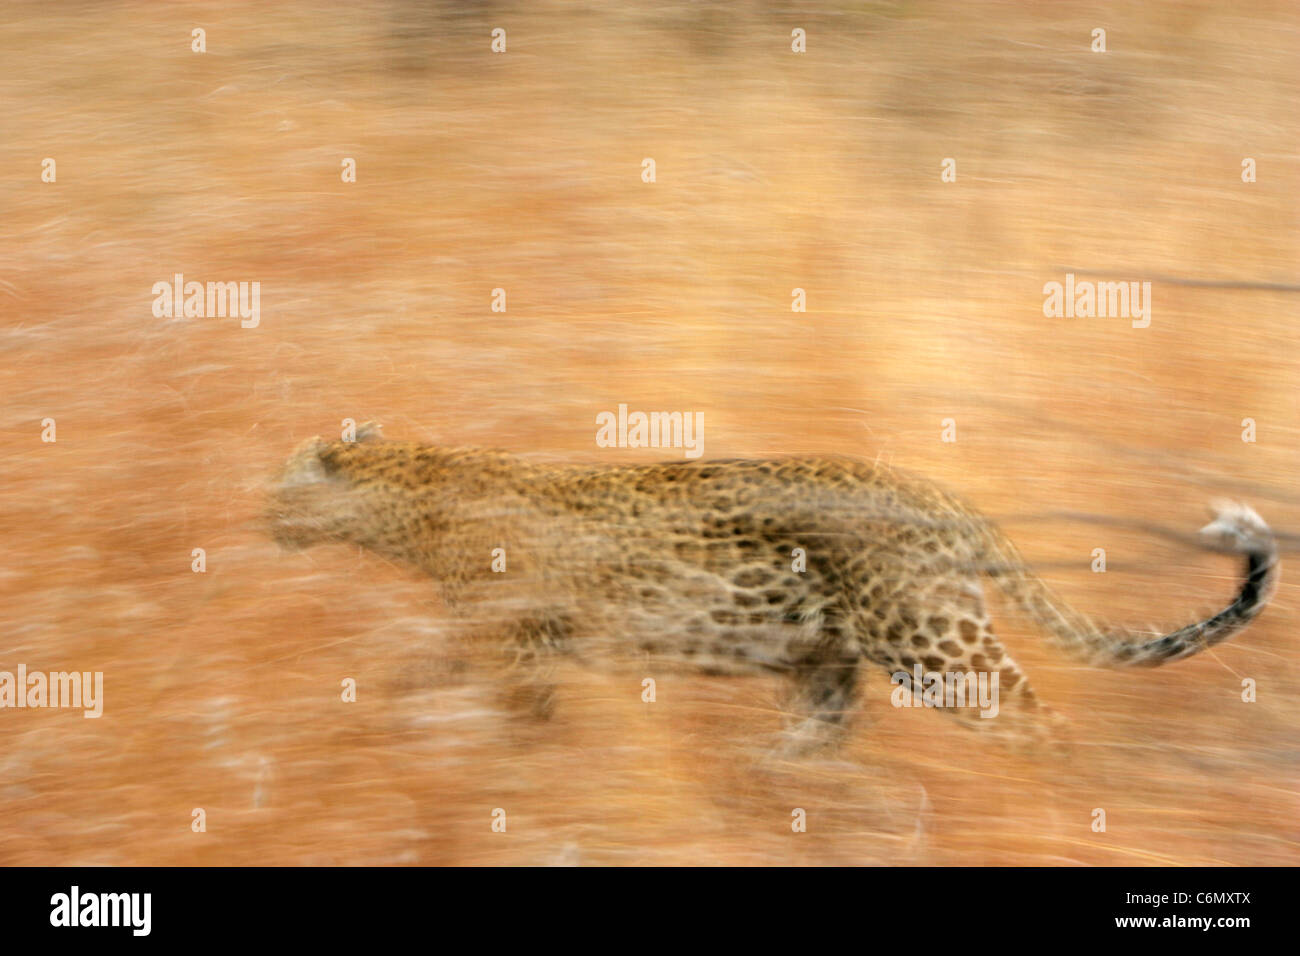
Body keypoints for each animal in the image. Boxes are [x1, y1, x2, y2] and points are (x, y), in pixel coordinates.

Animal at [266, 422, 1278, 751]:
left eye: (281, 484)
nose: (257, 515)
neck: (413, 497)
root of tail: (946, 496)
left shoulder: (506, 644)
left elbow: (481, 703)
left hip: (932, 644)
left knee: (1042, 730)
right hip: (825, 662)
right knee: (814, 746)